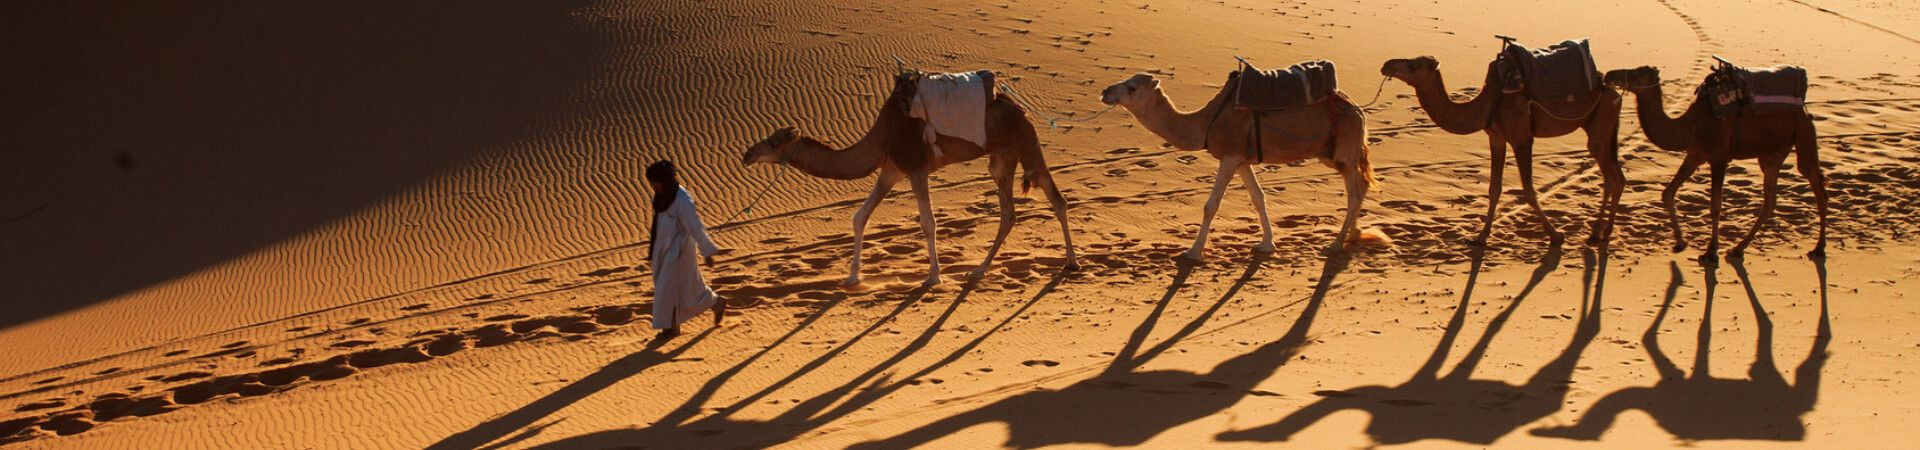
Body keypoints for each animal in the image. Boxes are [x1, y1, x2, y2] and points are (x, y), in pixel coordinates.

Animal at [742, 71, 1078, 287]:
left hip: (1025, 142)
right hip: (1002, 158)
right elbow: (860, 216)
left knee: (1055, 197)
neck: (879, 140)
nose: (747, 154)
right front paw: (852, 276)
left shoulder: (916, 169)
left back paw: (1072, 262)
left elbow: (928, 222)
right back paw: (979, 271)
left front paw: (934, 276)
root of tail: (1021, 109)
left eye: (774, 141)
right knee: (1009, 212)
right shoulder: (890, 171)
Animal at [1098, 72, 1376, 261]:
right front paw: (1267, 244)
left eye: (1132, 87)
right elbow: (1258, 197)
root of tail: (1358, 111)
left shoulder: (1229, 155)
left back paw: (1337, 243)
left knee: (1354, 192)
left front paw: (1194, 251)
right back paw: (1354, 235)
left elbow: (1211, 205)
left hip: (1345, 149)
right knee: (1360, 187)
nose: (1106, 91)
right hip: (1333, 154)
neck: (1206, 121)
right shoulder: (1241, 159)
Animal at [1380, 54, 1625, 247]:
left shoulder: (1521, 138)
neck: (1488, 101)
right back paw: (1605, 232)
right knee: (1617, 176)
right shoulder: (1496, 138)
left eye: (1414, 65)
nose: (1387, 64)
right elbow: (1494, 188)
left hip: (1601, 120)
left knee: (1609, 176)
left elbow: (1528, 190)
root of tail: (1612, 90)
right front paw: (1480, 237)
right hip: (1601, 124)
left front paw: (1556, 236)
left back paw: (1596, 234)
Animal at [1602, 66, 1829, 262]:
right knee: (1769, 201)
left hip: (1803, 132)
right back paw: (1738, 248)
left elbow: (1715, 206)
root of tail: (1804, 109)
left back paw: (1818, 248)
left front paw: (1710, 252)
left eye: (1636, 73)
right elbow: (1668, 193)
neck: (1690, 125)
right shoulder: (1695, 154)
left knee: (1816, 185)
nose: (1609, 74)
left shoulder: (1719, 158)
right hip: (1772, 153)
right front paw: (1680, 243)